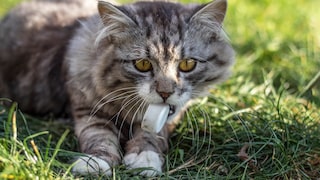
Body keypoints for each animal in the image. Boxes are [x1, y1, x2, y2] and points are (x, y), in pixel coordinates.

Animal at [0, 0, 235, 176]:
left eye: (187, 64)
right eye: (142, 64)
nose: (165, 93)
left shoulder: (171, 117)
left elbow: (151, 136)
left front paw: (144, 158)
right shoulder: (89, 112)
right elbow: (100, 138)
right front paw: (95, 163)